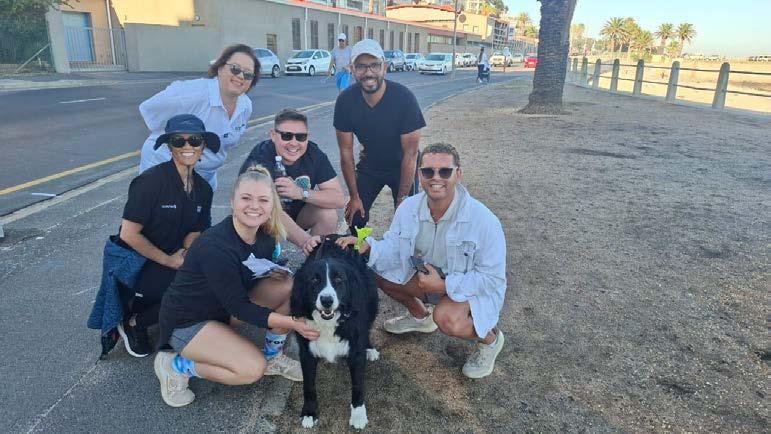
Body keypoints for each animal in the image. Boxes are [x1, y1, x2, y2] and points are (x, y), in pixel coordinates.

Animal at [290, 234, 379, 429]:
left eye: (339, 280)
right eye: (314, 280)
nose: (327, 300)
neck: (328, 323)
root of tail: (334, 236)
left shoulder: (355, 351)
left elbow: (358, 385)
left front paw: (358, 414)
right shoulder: (307, 350)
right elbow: (309, 385)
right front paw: (309, 412)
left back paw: (370, 348)